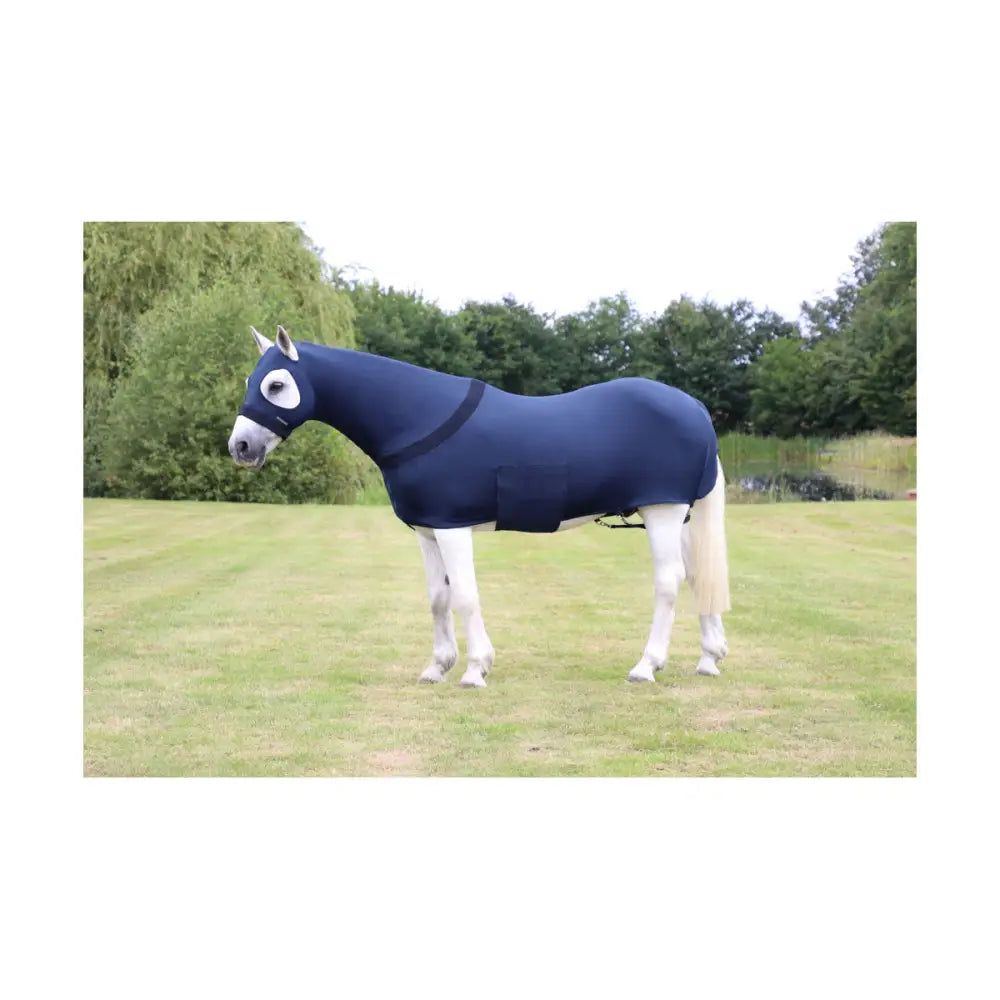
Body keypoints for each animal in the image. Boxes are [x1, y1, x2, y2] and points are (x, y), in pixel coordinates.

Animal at [229, 325, 731, 688]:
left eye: (276, 384)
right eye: (251, 380)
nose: (241, 447)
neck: (417, 418)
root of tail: (694, 409)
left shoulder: (453, 528)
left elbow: (466, 596)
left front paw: (474, 670)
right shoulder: (428, 530)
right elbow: (438, 598)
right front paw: (437, 667)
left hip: (661, 511)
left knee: (669, 582)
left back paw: (646, 666)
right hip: (679, 515)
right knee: (698, 576)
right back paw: (709, 659)